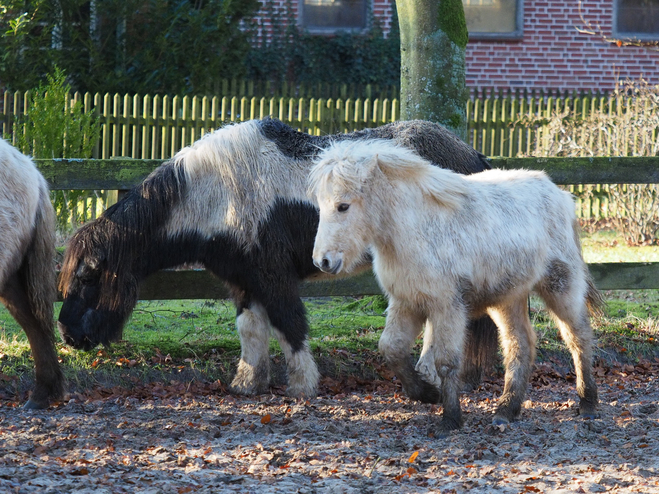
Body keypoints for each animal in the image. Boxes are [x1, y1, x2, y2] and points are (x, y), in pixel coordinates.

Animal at [58, 117, 496, 400]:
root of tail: (471, 155)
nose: (67, 334)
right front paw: (248, 383)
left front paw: (303, 386)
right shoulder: (242, 279)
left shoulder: (273, 276)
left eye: (88, 276)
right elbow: (251, 329)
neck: (217, 193)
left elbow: (289, 325)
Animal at [310, 138, 604, 428]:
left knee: (578, 338)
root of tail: (560, 195)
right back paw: (506, 410)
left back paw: (587, 404)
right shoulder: (406, 303)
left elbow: (446, 362)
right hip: (507, 299)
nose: (322, 261)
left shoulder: (447, 307)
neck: (416, 230)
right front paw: (426, 393)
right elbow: (391, 348)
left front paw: (450, 418)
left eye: (343, 206)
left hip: (561, 286)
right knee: (520, 344)